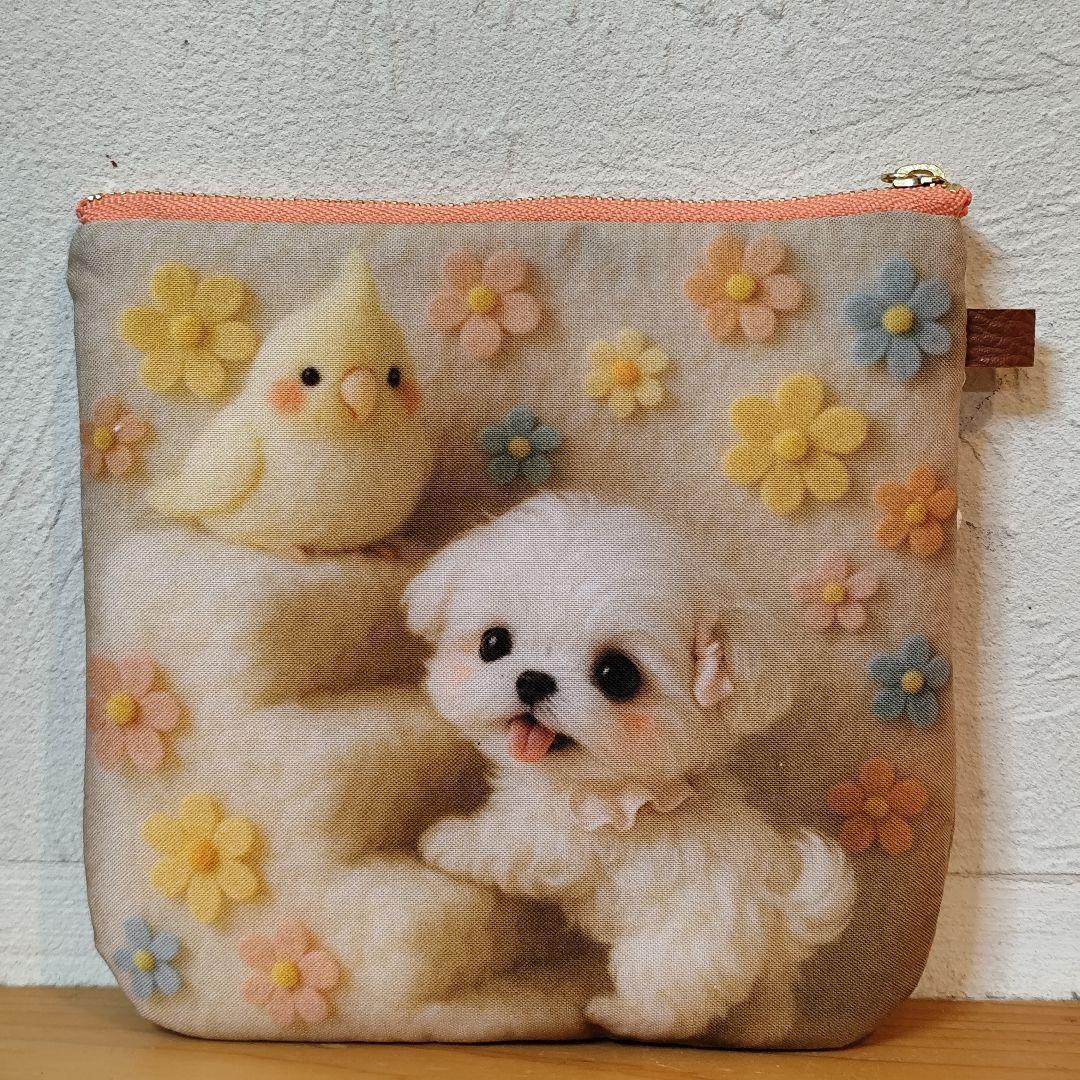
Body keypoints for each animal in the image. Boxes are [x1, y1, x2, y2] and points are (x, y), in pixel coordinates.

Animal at [404, 493, 856, 1045]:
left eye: (616, 674)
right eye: (494, 643)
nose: (533, 679)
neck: (604, 785)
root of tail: (781, 917)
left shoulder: (564, 842)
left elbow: (506, 843)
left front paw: (445, 839)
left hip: (676, 951)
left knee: (669, 1005)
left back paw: (614, 1014)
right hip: (758, 978)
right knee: (759, 1007)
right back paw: (756, 1033)